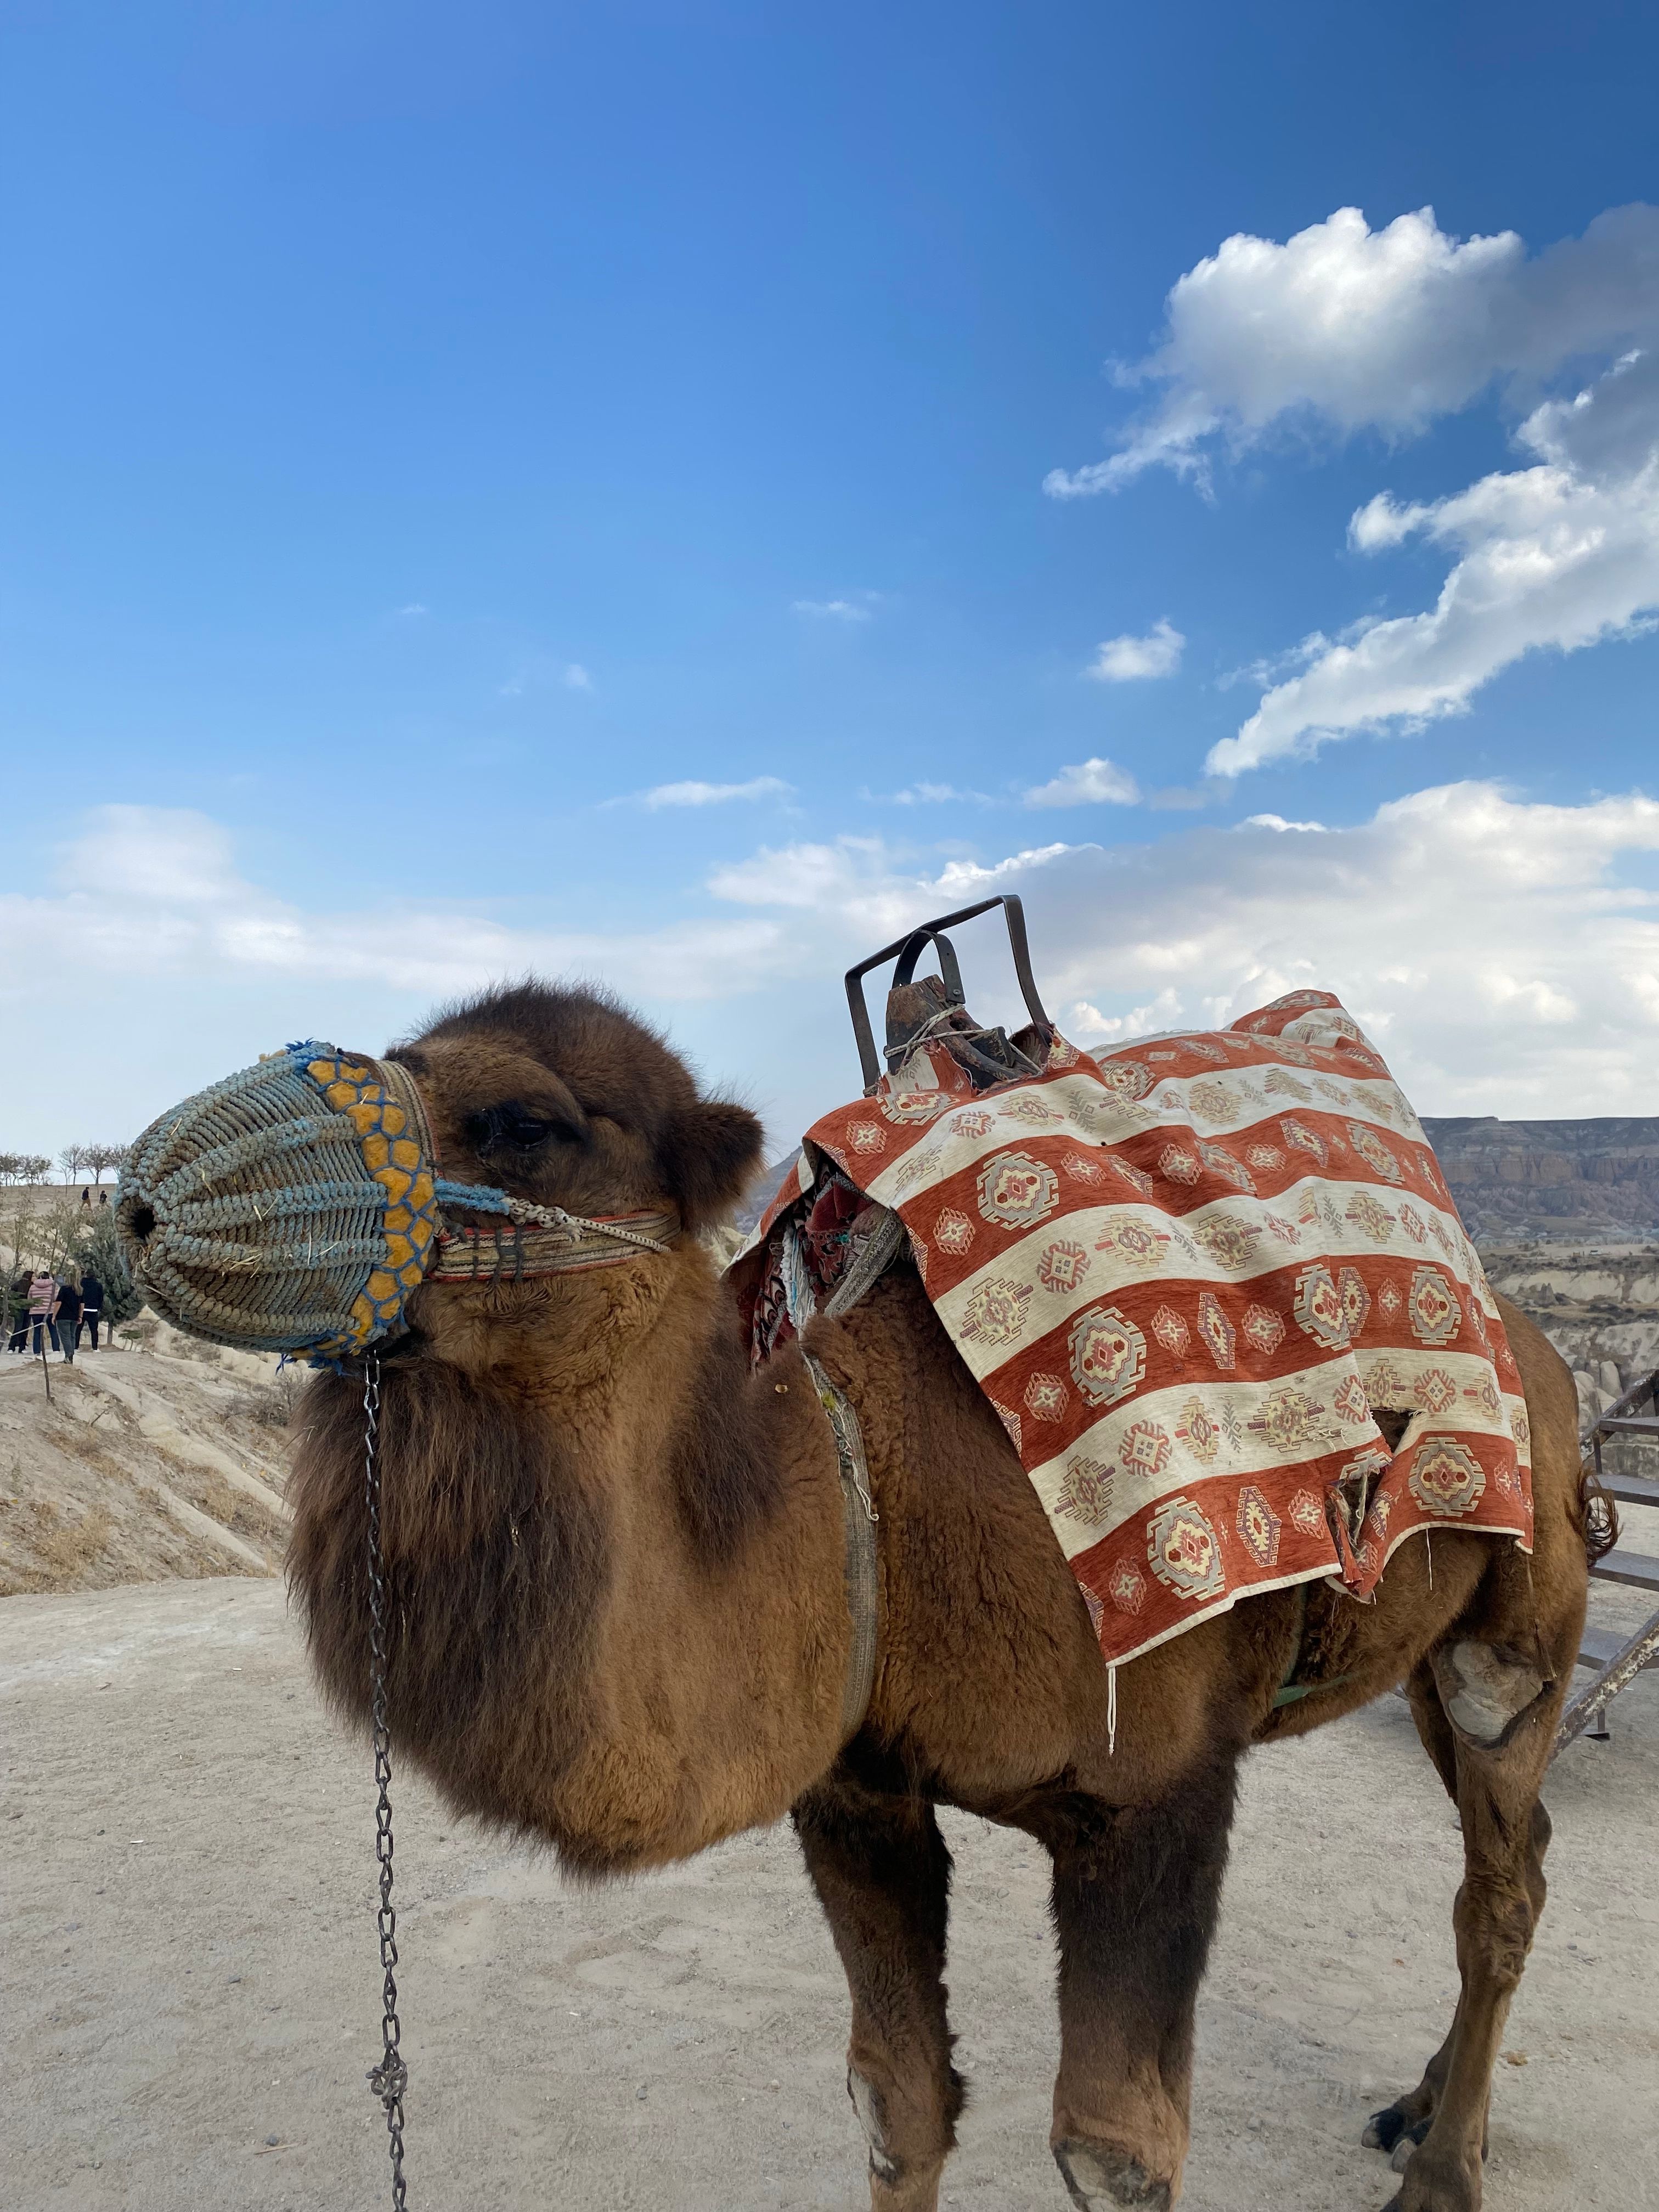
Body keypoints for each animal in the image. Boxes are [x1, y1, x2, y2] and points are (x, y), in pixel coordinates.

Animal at [284, 981, 1601, 2212]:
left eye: (525, 1122)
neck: (874, 1500)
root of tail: (1542, 1359)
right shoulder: (859, 1794)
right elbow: (895, 2098)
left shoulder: (1157, 1787)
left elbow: (1115, 2150)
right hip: (1423, 1657)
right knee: (1520, 1850)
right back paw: (1420, 2105)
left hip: (1518, 1622)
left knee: (1499, 1878)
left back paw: (1441, 2171)